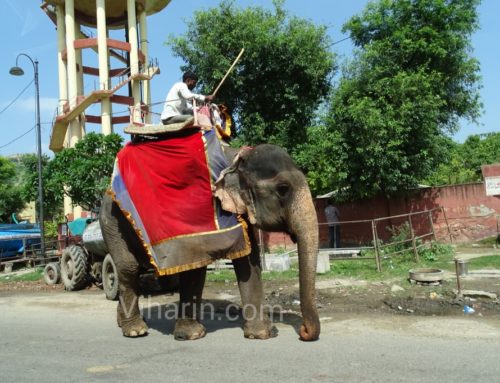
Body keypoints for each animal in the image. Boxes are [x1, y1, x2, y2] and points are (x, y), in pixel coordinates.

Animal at [99, 143, 320, 342]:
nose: (304, 332)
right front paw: (192, 335)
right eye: (283, 189)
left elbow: (249, 261)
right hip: (112, 223)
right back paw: (135, 331)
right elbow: (195, 264)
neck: (235, 158)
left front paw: (262, 334)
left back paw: (124, 322)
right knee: (128, 268)